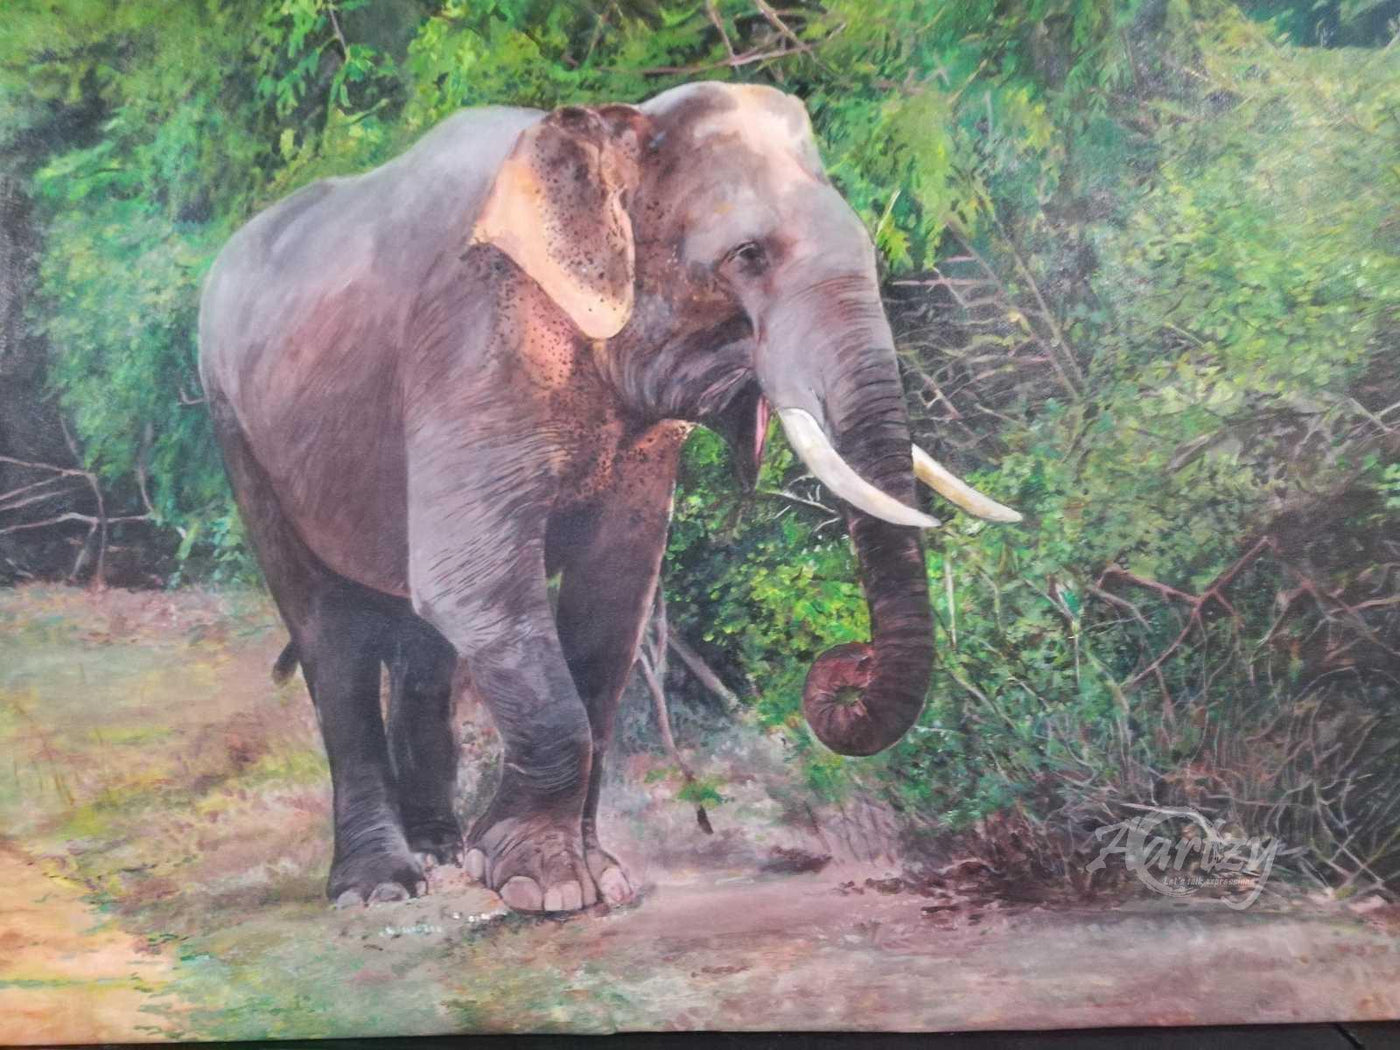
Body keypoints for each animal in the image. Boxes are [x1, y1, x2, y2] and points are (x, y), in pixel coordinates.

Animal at [198, 81, 1020, 914]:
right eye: (747, 257)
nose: (844, 666)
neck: (610, 134)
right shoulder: (468, 346)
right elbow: (475, 582)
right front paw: (540, 886)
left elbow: (613, 592)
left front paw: (588, 877)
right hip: (236, 428)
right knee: (330, 634)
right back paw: (379, 889)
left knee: (420, 640)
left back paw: (439, 850)